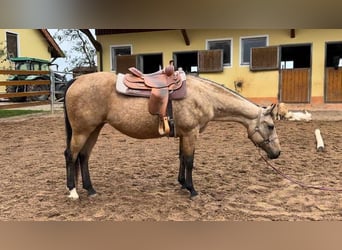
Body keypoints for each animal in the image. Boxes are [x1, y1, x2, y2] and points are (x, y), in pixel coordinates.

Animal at [63, 67, 280, 200]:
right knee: (71, 155)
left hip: (94, 129)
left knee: (84, 156)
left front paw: (183, 184)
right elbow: (190, 161)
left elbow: (182, 158)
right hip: (82, 130)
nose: (277, 153)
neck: (204, 95)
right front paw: (192, 190)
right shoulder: (191, 133)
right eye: (270, 125)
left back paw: (90, 189)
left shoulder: (184, 134)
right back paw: (73, 191)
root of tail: (76, 80)